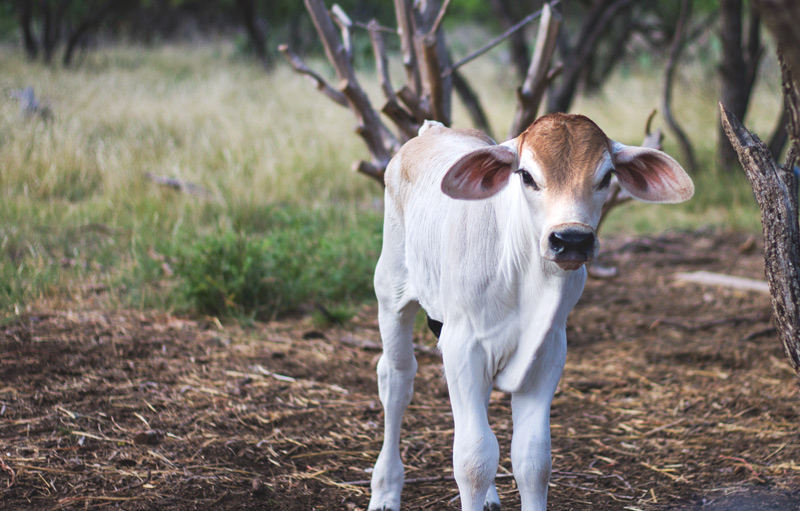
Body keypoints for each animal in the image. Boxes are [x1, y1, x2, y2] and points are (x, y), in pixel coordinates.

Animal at [368, 113, 692, 511]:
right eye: (526, 175)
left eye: (606, 176)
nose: (571, 239)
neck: (527, 278)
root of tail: (432, 129)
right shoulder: (463, 346)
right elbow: (473, 459)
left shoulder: (548, 350)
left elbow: (532, 458)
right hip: (391, 292)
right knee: (396, 380)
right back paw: (385, 491)